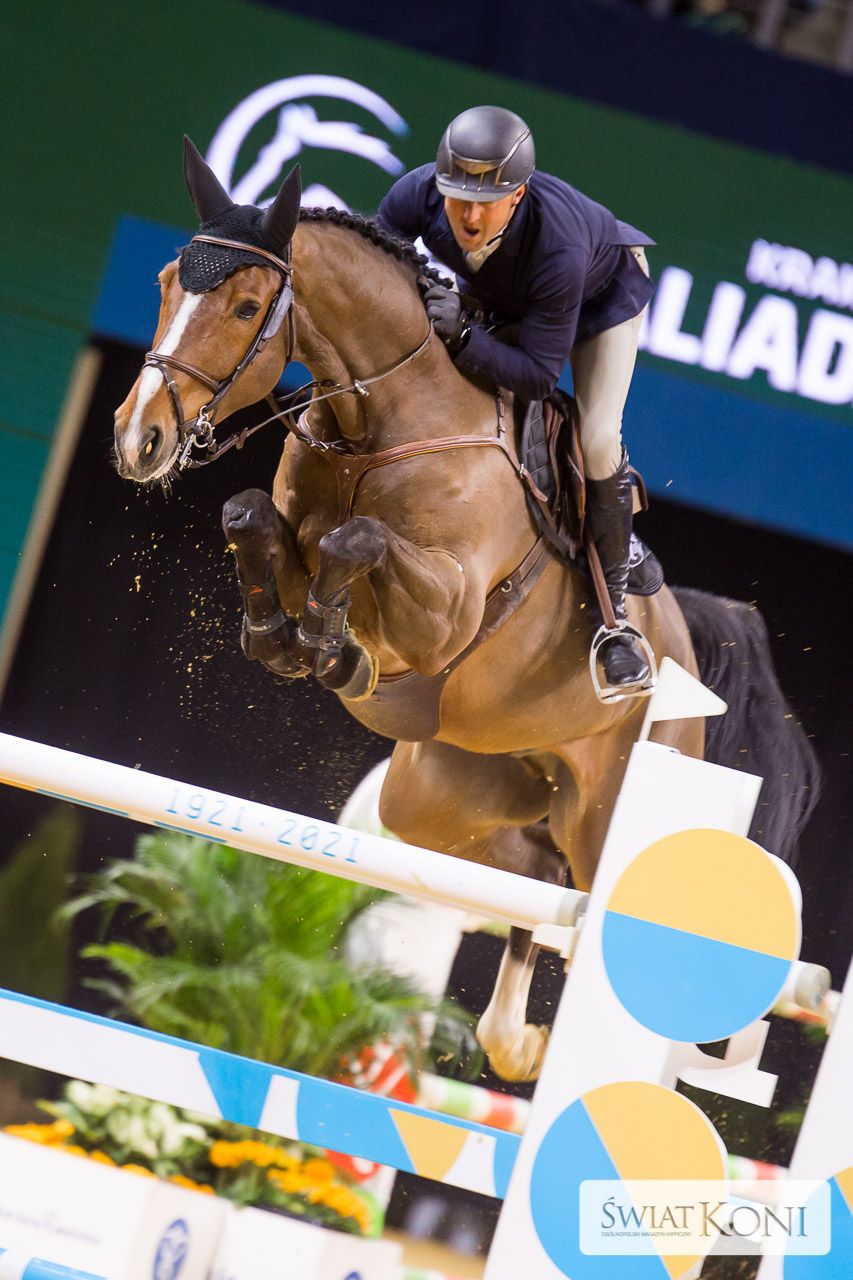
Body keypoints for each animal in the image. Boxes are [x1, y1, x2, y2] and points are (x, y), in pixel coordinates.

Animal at [113, 142, 819, 1082]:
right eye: (166, 282)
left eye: (247, 305)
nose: (138, 439)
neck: (376, 423)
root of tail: (682, 656)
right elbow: (248, 516)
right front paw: (281, 636)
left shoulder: (444, 609)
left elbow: (359, 542)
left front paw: (335, 648)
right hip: (447, 792)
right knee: (534, 877)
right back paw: (517, 1036)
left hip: (611, 804)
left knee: (594, 891)